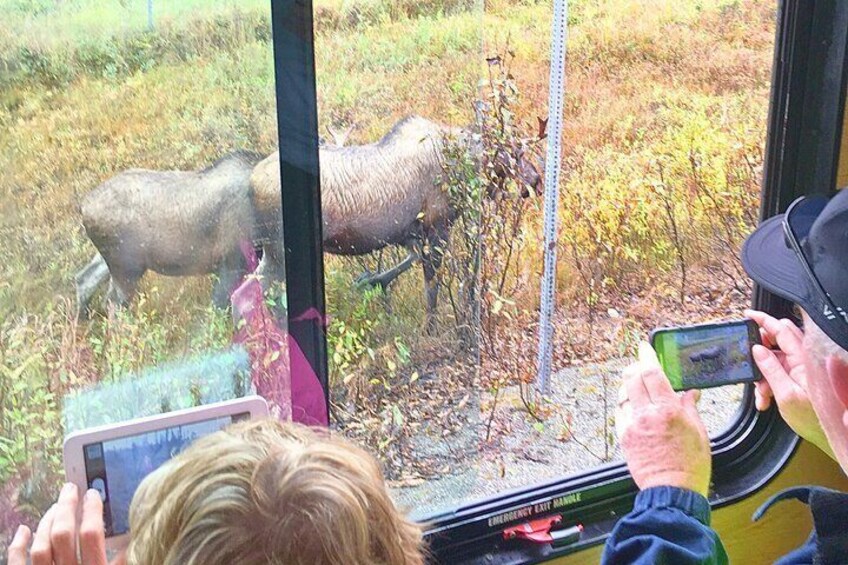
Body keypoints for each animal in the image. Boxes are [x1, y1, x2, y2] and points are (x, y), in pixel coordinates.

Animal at [252, 114, 544, 328]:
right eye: (515, 153)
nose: (536, 180)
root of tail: (251, 181)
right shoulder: (437, 226)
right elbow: (432, 286)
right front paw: (431, 328)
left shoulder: (409, 233)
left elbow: (410, 262)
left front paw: (372, 282)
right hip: (280, 250)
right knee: (260, 290)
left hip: (270, 251)